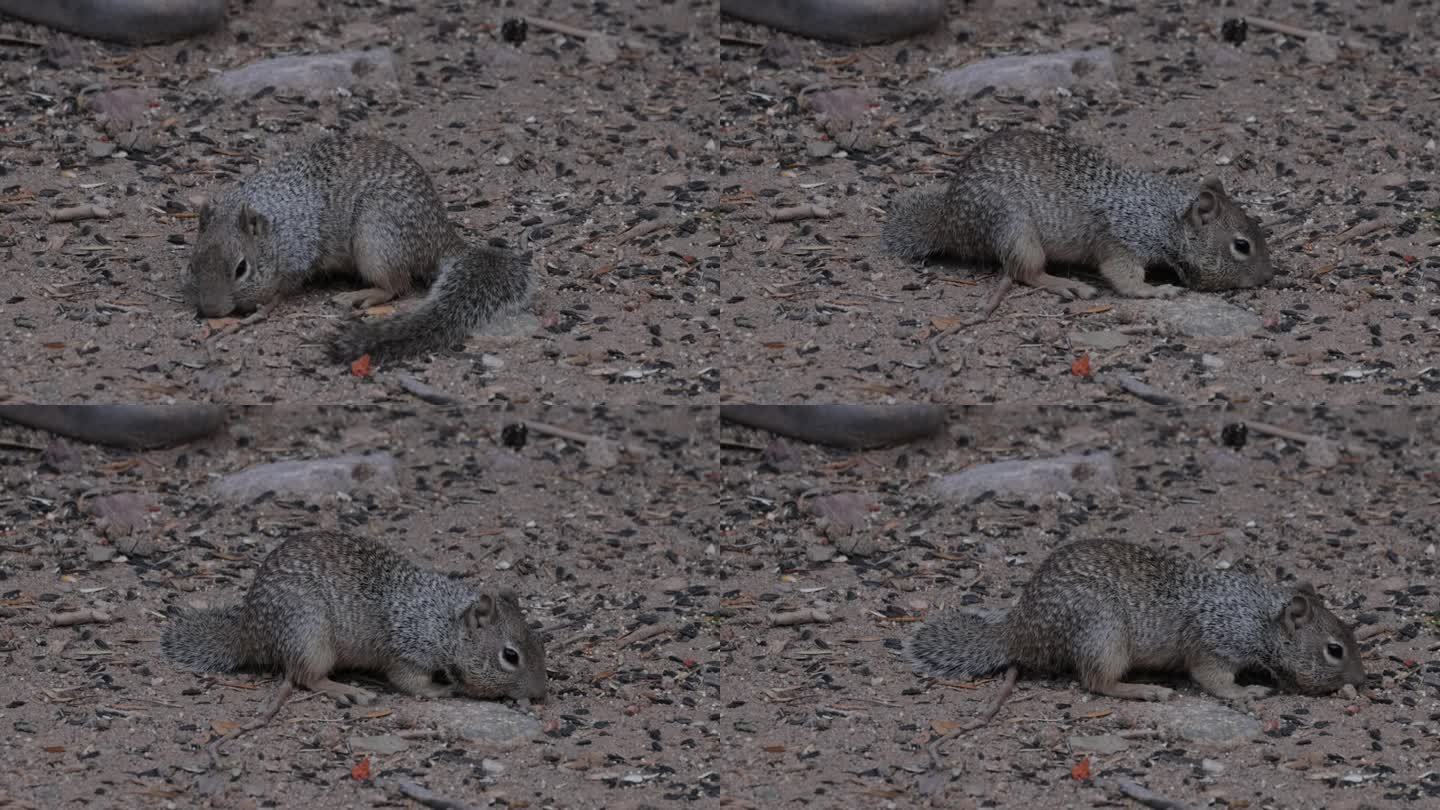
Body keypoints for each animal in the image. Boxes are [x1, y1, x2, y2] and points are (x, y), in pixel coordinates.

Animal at [162, 530, 544, 700]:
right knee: (305, 676)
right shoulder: (408, 650)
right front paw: (440, 690)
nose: (541, 694)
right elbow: (409, 682)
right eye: (510, 656)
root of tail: (248, 634)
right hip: (309, 637)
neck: (444, 622)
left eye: (540, 645)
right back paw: (345, 690)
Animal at [184, 134, 535, 363]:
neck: (274, 229)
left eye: (241, 268)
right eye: (193, 265)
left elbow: (286, 286)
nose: (211, 311)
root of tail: (438, 235)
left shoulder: (303, 249)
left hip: (376, 239)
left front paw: (266, 304)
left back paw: (360, 295)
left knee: (397, 285)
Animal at [881, 128, 1278, 321]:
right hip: (1015, 230)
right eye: (1242, 246)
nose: (1268, 276)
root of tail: (948, 222)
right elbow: (1124, 278)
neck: (1165, 216)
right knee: (1026, 272)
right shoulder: (1122, 242)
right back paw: (1069, 285)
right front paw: (1156, 291)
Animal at [904, 536, 1365, 700]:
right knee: (1097, 682)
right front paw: (1244, 693)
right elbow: (1212, 679)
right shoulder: (1214, 643)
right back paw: (1145, 692)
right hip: (1103, 634)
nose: (1364, 680)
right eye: (1335, 650)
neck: (1257, 615)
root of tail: (1019, 634)